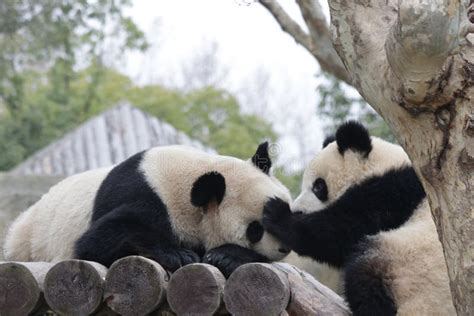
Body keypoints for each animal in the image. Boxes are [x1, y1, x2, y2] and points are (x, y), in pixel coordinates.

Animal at [3, 143, 292, 276]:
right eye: (255, 229)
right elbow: (96, 242)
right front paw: (179, 253)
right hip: (29, 240)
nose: (283, 248)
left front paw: (226, 256)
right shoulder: (143, 195)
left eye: (284, 212)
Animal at [262, 121, 456, 316]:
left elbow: (338, 232)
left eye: (318, 186)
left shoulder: (391, 193)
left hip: (408, 268)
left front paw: (277, 213)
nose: (298, 210)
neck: (380, 166)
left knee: (364, 274)